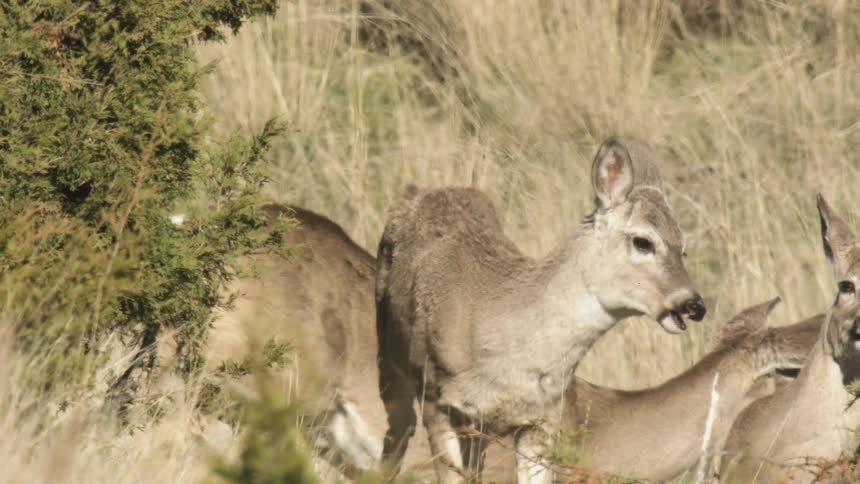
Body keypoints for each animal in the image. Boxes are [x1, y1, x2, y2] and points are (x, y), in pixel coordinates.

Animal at [374, 137, 707, 483]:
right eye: (643, 241)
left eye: (683, 247)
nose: (694, 304)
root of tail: (422, 190)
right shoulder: (436, 399)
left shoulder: (542, 417)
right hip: (392, 360)